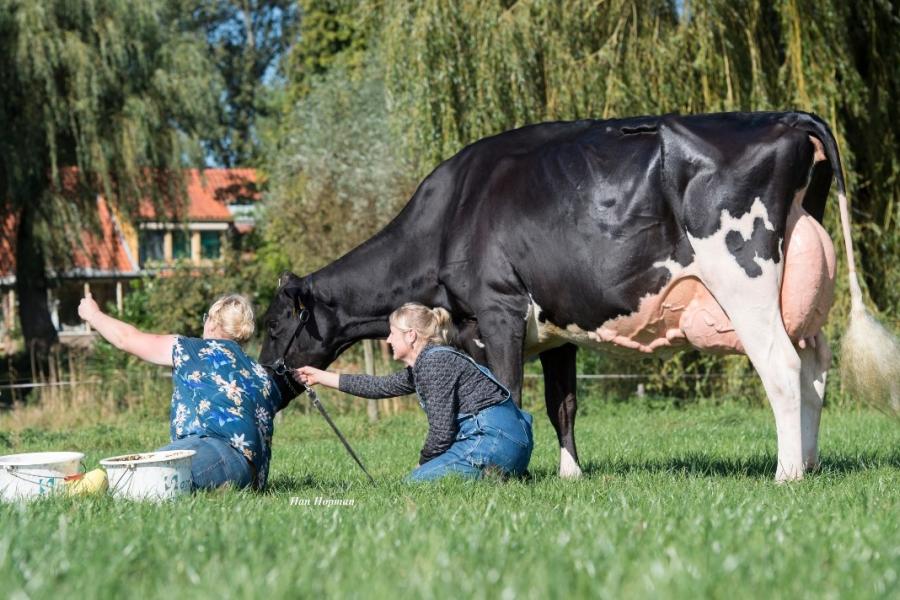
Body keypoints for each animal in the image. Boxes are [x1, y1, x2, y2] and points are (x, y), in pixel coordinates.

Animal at [259, 111, 899, 482]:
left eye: (271, 326)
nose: (268, 376)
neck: (446, 218)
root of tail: (785, 117)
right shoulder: (557, 326)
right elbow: (561, 404)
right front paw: (571, 476)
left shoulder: (498, 310)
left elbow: (509, 390)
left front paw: (513, 474)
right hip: (801, 295)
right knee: (815, 369)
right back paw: (811, 463)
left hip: (747, 281)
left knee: (782, 370)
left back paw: (787, 473)